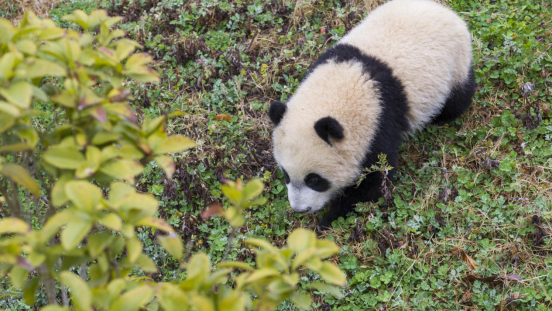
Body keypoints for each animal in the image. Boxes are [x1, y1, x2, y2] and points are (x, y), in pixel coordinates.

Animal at [266, 0, 474, 229]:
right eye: (285, 174)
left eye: (314, 180)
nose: (300, 209)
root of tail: (445, 10)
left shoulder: (380, 121)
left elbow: (375, 180)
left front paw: (327, 219)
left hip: (455, 62)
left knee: (458, 96)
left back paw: (442, 117)